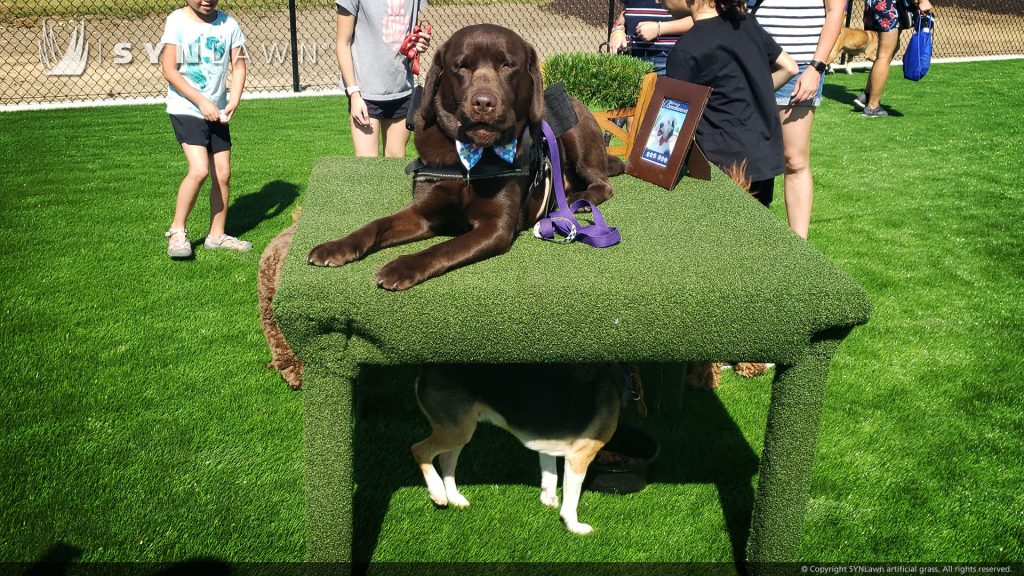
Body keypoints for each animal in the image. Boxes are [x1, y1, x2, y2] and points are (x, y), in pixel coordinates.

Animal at [276, 154, 876, 565]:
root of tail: (431, 365)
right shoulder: (584, 453)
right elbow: (573, 497)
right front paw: (574, 525)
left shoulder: (552, 447)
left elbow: (548, 479)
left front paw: (546, 501)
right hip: (452, 428)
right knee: (420, 450)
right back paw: (441, 498)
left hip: (463, 429)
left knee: (446, 460)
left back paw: (456, 495)